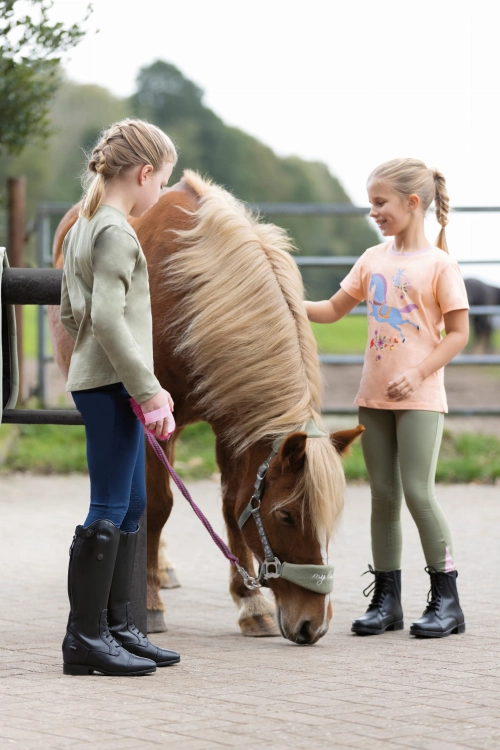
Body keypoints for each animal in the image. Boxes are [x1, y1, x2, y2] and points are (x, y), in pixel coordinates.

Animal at [49, 170, 363, 645]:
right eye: (286, 515)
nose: (314, 626)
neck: (191, 294)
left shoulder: (232, 426)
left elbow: (232, 505)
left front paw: (251, 605)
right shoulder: (155, 422)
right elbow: (159, 504)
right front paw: (151, 603)